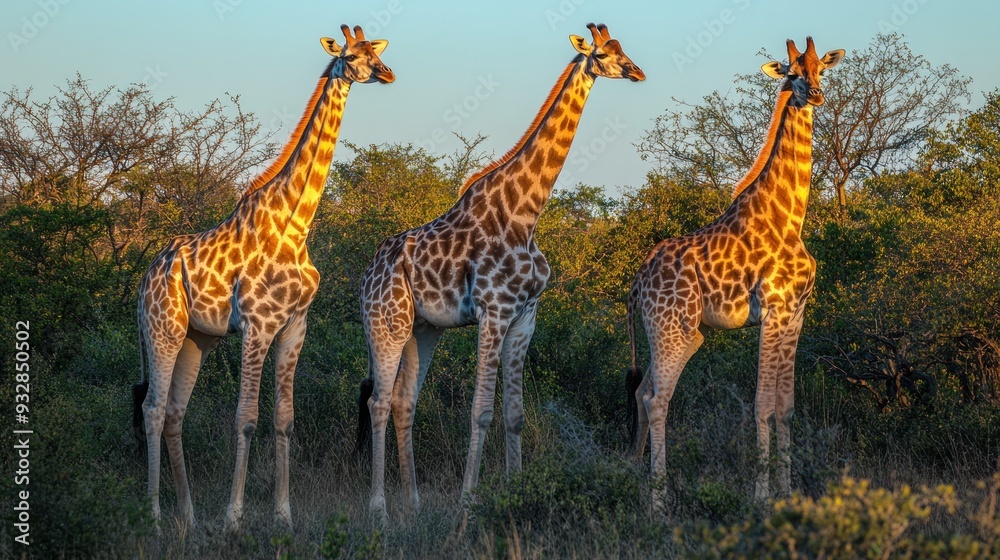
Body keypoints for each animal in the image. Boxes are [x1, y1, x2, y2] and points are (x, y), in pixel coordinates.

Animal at [132, 25, 393, 531]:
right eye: (352, 56)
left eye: (376, 50)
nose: (388, 73)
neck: (295, 223)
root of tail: (146, 276)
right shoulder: (257, 325)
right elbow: (247, 416)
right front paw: (233, 517)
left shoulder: (294, 326)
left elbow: (284, 418)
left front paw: (283, 515)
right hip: (162, 328)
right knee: (152, 408)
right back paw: (153, 517)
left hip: (196, 338)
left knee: (174, 412)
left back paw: (189, 517)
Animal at [355, 23, 644, 525]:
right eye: (605, 53)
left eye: (622, 48)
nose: (636, 71)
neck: (525, 215)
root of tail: (367, 273)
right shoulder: (494, 311)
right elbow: (481, 410)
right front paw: (468, 501)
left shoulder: (525, 315)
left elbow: (515, 413)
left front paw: (516, 488)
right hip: (384, 324)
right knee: (378, 401)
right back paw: (380, 511)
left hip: (422, 328)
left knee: (403, 400)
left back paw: (412, 504)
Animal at [625, 37, 843, 506]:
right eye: (792, 73)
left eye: (820, 70)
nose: (815, 95)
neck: (791, 218)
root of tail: (635, 285)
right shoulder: (774, 310)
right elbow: (762, 404)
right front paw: (760, 496)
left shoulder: (796, 314)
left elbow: (786, 407)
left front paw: (787, 491)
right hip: (672, 330)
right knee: (657, 400)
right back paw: (659, 500)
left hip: (679, 334)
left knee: (641, 391)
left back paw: (631, 474)